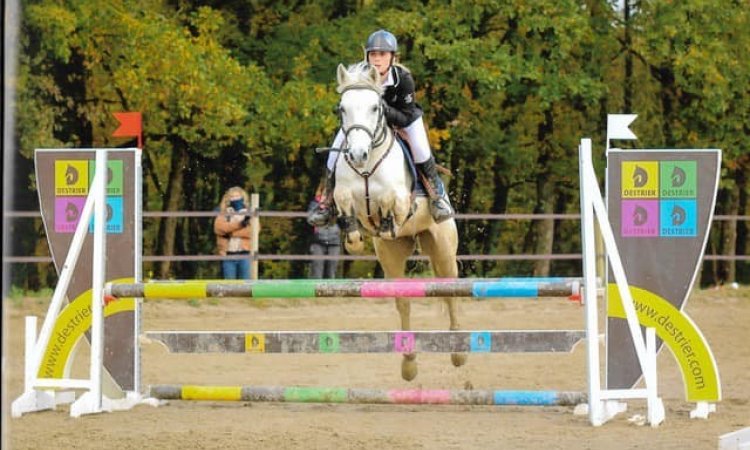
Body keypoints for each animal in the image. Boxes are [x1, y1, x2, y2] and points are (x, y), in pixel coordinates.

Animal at [334, 62, 468, 380]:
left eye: (375, 107)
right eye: (342, 108)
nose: (357, 154)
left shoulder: (402, 199)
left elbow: (390, 199)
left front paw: (385, 220)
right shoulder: (343, 193)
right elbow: (344, 200)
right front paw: (353, 238)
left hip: (444, 251)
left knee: (451, 294)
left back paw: (458, 354)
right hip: (391, 256)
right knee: (403, 301)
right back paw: (409, 363)